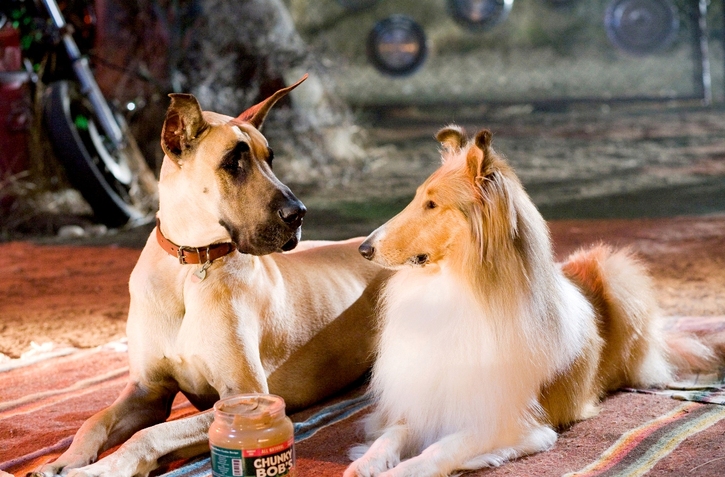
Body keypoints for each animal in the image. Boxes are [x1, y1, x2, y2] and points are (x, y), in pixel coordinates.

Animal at [30, 75, 388, 477]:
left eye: (270, 159)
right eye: (233, 162)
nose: (298, 213)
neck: (189, 266)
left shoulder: (244, 396)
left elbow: (150, 434)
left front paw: (100, 469)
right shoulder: (146, 391)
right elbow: (95, 420)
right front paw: (63, 461)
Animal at [344, 126, 714, 477]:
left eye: (432, 204)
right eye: (417, 198)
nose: (363, 249)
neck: (454, 288)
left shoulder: (504, 421)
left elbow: (441, 449)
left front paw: (403, 469)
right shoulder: (422, 405)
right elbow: (390, 435)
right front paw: (365, 462)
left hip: (621, 274)